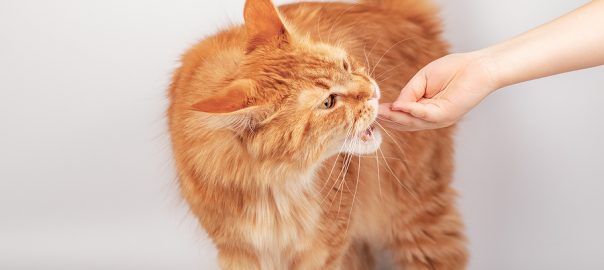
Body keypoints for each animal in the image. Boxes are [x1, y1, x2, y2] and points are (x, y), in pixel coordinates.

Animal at [169, 0, 468, 268]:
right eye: (328, 103)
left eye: (346, 66)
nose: (373, 91)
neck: (273, 190)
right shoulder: (241, 252)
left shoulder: (327, 248)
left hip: (416, 212)